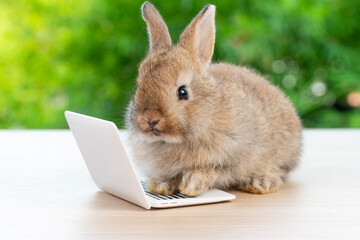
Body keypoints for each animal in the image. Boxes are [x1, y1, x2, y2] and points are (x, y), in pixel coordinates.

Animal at [125, 1, 302, 197]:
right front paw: (160, 185)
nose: (150, 120)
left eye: (183, 92)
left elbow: (214, 170)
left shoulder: (233, 153)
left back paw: (259, 183)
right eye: (138, 86)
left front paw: (191, 185)